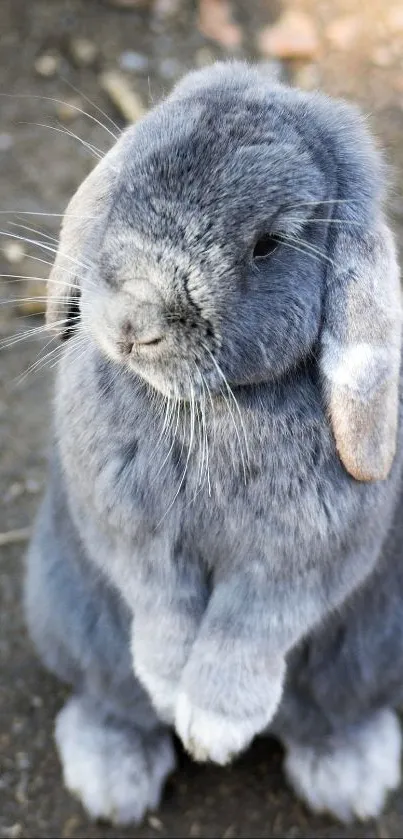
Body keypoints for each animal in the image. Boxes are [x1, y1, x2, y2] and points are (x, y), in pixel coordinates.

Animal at [25, 62, 403, 824]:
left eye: (267, 244)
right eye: (126, 182)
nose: (134, 322)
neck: (209, 407)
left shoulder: (297, 563)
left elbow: (247, 627)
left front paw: (214, 728)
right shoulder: (131, 536)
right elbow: (163, 608)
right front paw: (174, 692)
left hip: (372, 655)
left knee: (331, 716)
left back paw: (350, 777)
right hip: (70, 616)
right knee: (112, 700)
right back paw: (111, 778)